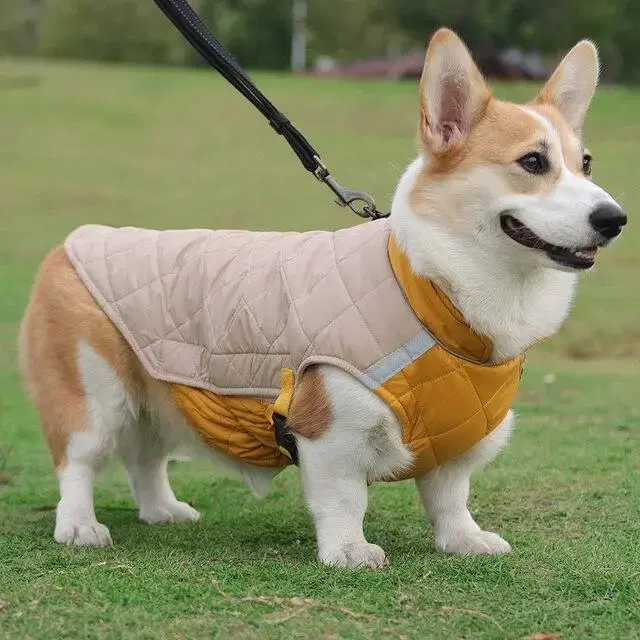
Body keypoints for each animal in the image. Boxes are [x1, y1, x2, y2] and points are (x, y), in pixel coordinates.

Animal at [18, 30, 624, 568]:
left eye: (586, 163)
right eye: (532, 163)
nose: (615, 219)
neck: (433, 293)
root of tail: (73, 242)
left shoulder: (456, 443)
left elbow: (451, 498)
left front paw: (465, 541)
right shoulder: (329, 430)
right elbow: (344, 499)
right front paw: (350, 552)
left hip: (156, 397)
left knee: (145, 456)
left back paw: (162, 510)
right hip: (96, 393)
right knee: (78, 460)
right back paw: (79, 525)